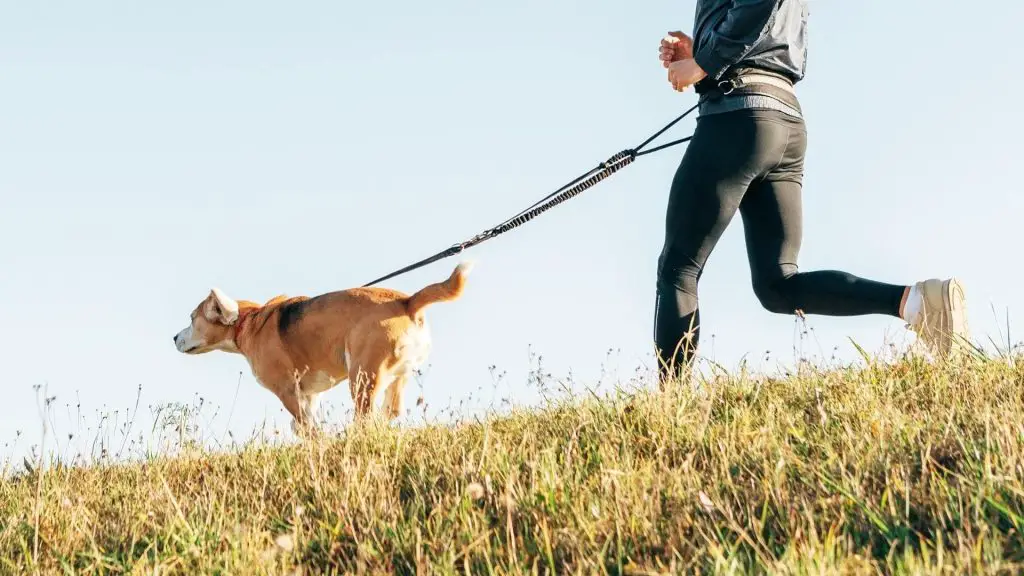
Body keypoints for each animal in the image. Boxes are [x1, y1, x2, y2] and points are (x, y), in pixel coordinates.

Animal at [173, 260, 475, 430]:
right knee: (391, 411)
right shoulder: (310, 394)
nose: (174, 338)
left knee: (366, 417)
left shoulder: (288, 390)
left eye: (192, 319)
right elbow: (304, 423)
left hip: (363, 377)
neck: (250, 320)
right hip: (398, 374)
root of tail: (407, 301)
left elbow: (306, 426)